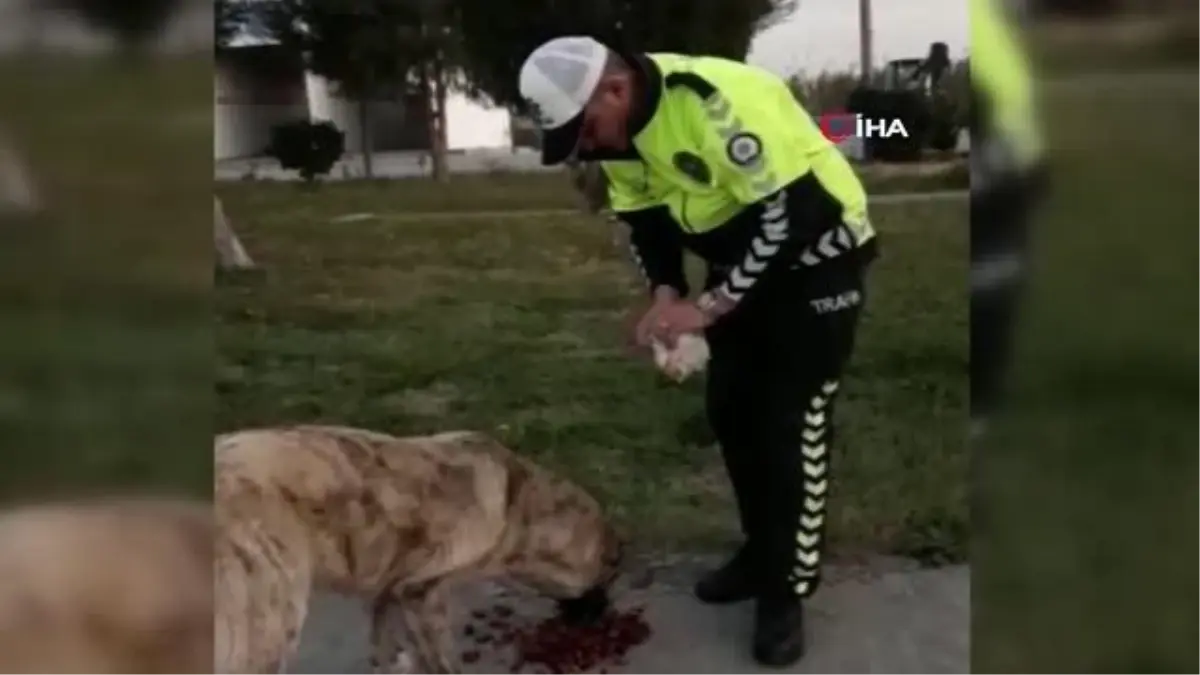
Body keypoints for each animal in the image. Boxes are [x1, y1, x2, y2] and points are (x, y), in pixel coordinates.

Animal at [217, 425, 628, 672]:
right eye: (608, 577)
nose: (604, 616)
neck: (520, 505)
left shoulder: (389, 589)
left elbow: (384, 642)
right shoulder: (421, 595)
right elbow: (441, 660)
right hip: (273, 628)